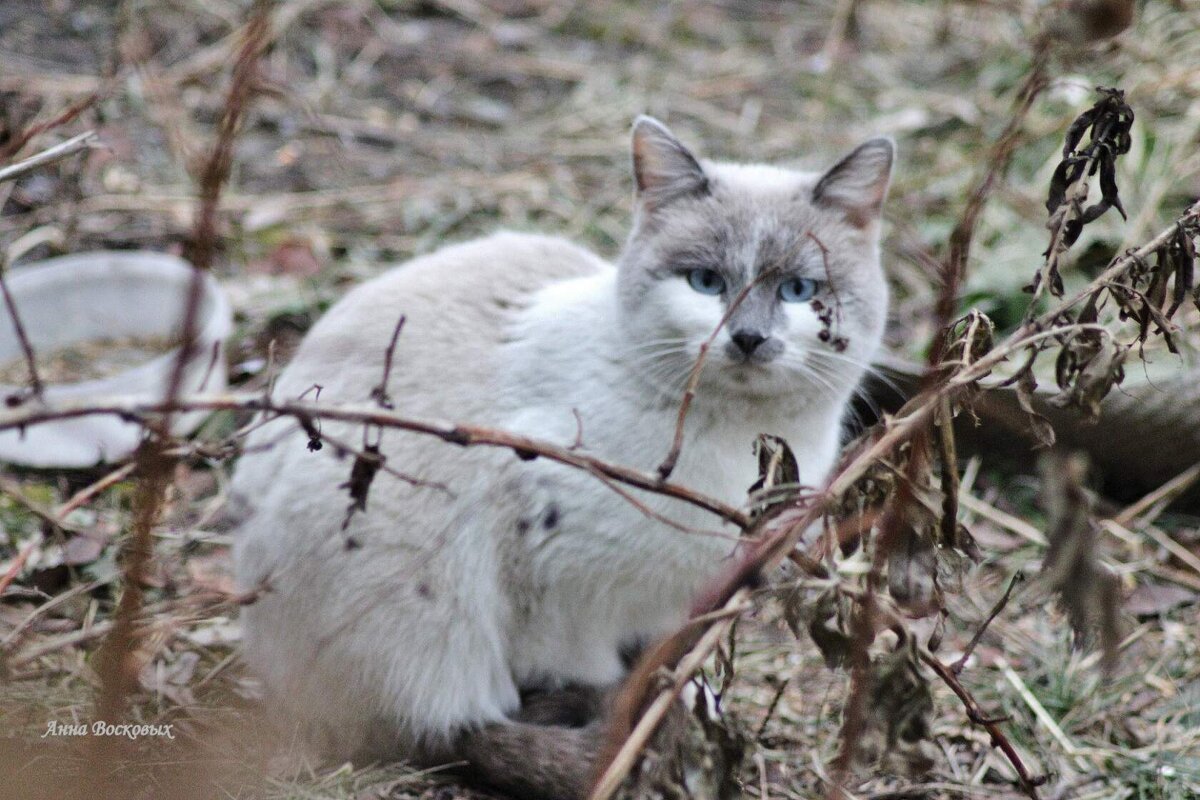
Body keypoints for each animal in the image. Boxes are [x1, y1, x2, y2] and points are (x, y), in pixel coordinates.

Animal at [231, 113, 892, 800]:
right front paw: (638, 725)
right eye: (706, 282)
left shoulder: (684, 595)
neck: (736, 443)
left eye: (798, 290)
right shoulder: (563, 586)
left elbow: (660, 659)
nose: (748, 338)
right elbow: (590, 674)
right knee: (446, 733)